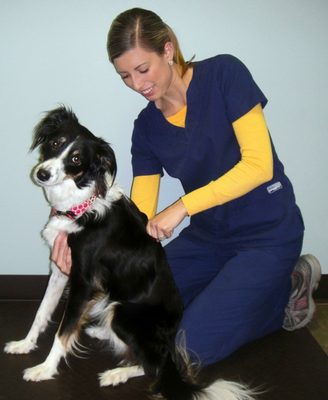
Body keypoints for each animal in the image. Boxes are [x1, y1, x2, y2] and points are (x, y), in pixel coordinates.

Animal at [3, 107, 254, 400]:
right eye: (55, 143)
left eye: (76, 159)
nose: (42, 174)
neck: (80, 207)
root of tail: (171, 338)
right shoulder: (59, 271)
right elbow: (41, 312)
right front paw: (24, 344)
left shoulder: (83, 283)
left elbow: (63, 331)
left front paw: (44, 369)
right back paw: (101, 332)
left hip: (123, 311)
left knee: (153, 366)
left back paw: (117, 374)